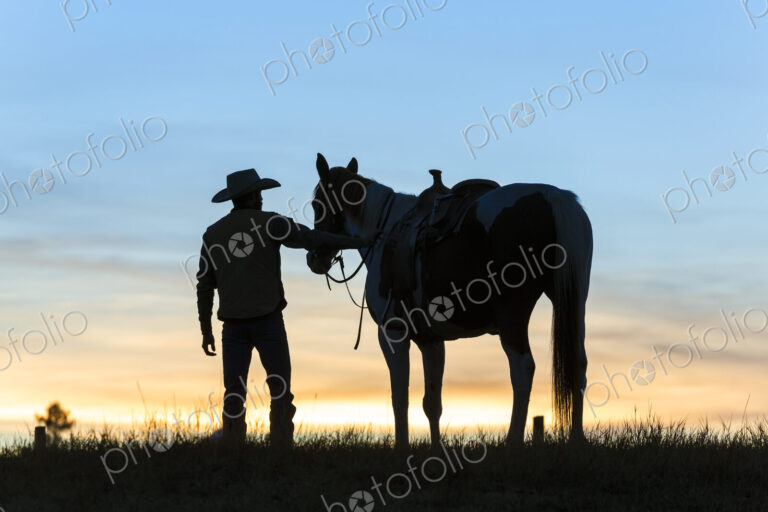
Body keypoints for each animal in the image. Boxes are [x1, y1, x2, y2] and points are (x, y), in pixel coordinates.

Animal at [307, 153, 593, 448]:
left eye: (317, 204)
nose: (314, 258)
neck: (384, 232)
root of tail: (553, 198)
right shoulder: (431, 340)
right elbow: (432, 403)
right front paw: (436, 447)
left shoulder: (392, 332)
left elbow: (400, 397)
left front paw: (402, 446)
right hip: (574, 302)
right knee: (578, 363)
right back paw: (577, 438)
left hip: (513, 312)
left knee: (522, 368)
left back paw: (513, 440)